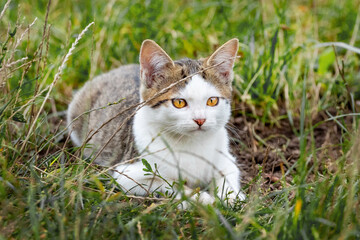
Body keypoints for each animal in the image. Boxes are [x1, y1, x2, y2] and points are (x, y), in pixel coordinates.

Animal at [67, 38, 245, 203]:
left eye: (212, 101)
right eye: (179, 102)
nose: (200, 120)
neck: (191, 143)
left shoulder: (226, 159)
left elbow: (229, 173)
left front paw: (231, 197)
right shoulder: (127, 174)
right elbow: (167, 183)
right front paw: (201, 199)